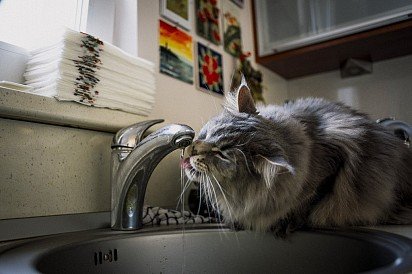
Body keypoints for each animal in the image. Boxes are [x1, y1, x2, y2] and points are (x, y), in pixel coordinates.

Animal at [183, 77, 412, 235]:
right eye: (208, 134)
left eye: (222, 154)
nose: (192, 150)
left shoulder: (331, 168)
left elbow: (307, 203)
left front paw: (285, 224)